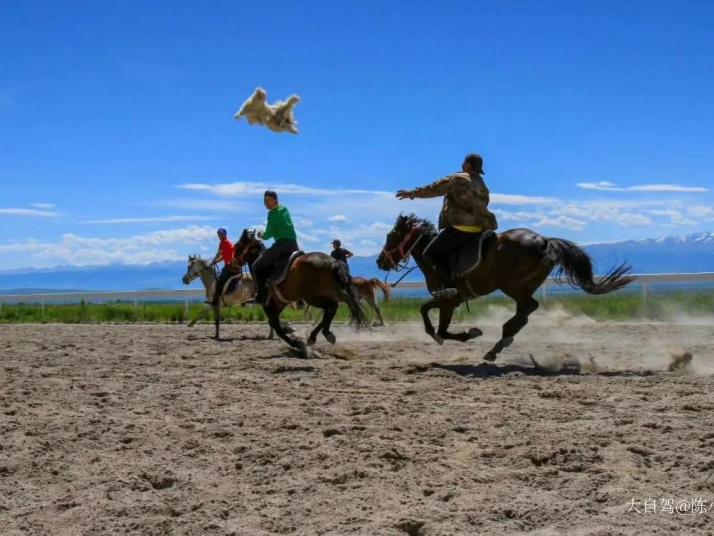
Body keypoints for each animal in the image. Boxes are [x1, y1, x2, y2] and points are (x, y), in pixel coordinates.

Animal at [234, 227, 368, 356]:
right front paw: (290, 330)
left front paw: (297, 343)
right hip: (333, 294)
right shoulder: (279, 304)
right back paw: (320, 335)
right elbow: (276, 324)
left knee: (331, 308)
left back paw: (318, 336)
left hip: (314, 297)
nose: (235, 260)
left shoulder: (268, 305)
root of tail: (333, 262)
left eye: (238, 245)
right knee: (337, 307)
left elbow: (276, 326)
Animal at [376, 216, 632, 362]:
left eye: (391, 235)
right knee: (526, 312)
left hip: (513, 286)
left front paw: (471, 333)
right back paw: (502, 341)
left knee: (527, 309)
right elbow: (425, 312)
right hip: (524, 286)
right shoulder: (451, 299)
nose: (380, 261)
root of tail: (545, 241)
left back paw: (499, 342)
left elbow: (442, 330)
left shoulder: (449, 300)